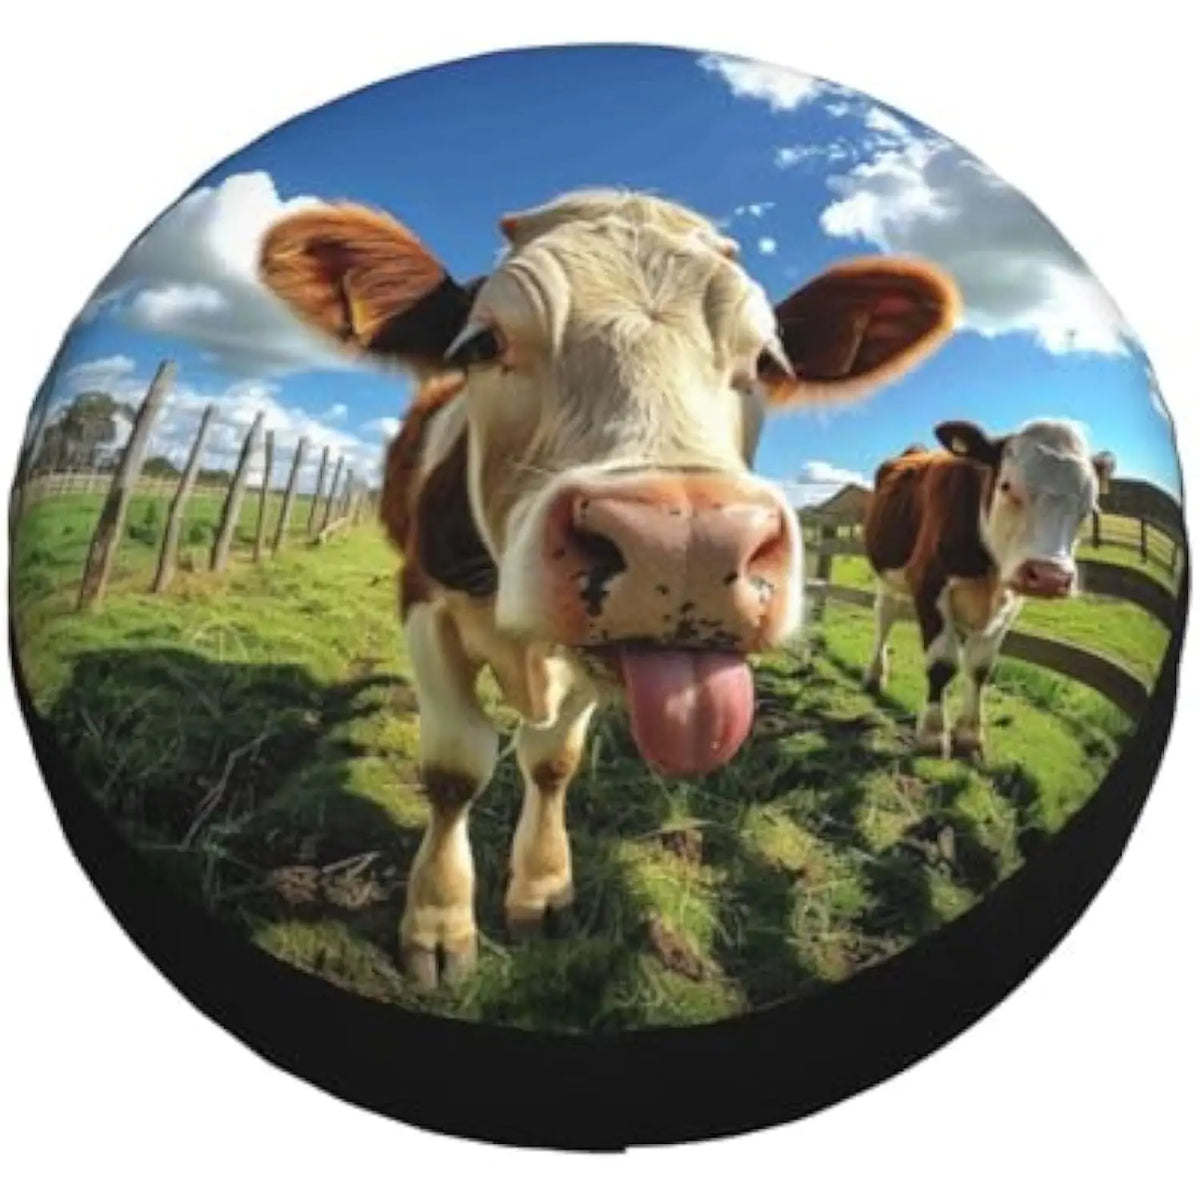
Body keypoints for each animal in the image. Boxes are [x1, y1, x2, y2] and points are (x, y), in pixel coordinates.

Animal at [257, 188, 961, 988]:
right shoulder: (424, 607)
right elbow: (455, 768)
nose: (684, 545)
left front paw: (541, 891)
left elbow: (552, 761)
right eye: (482, 344)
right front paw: (437, 926)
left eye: (764, 359)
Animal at [862, 419, 1115, 760]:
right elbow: (942, 664)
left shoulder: (1011, 603)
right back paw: (875, 676)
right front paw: (932, 734)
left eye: (1090, 507)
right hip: (888, 575)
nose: (1050, 576)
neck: (990, 570)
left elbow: (980, 667)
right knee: (884, 616)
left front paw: (969, 734)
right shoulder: (929, 585)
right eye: (1007, 486)